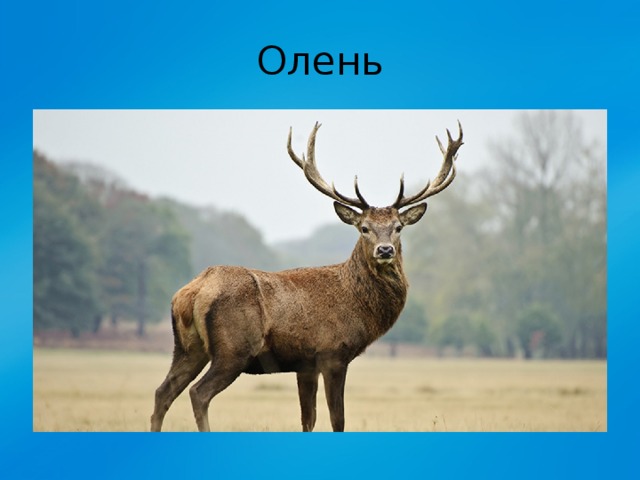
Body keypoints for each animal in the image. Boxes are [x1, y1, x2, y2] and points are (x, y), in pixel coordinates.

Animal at [150, 121, 463, 432]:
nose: (385, 249)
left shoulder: (305, 365)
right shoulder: (332, 353)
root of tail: (192, 291)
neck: (357, 305)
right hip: (233, 349)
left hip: (188, 348)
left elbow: (308, 419)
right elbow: (338, 419)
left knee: (163, 391)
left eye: (398, 227)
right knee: (198, 393)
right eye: (364, 228)